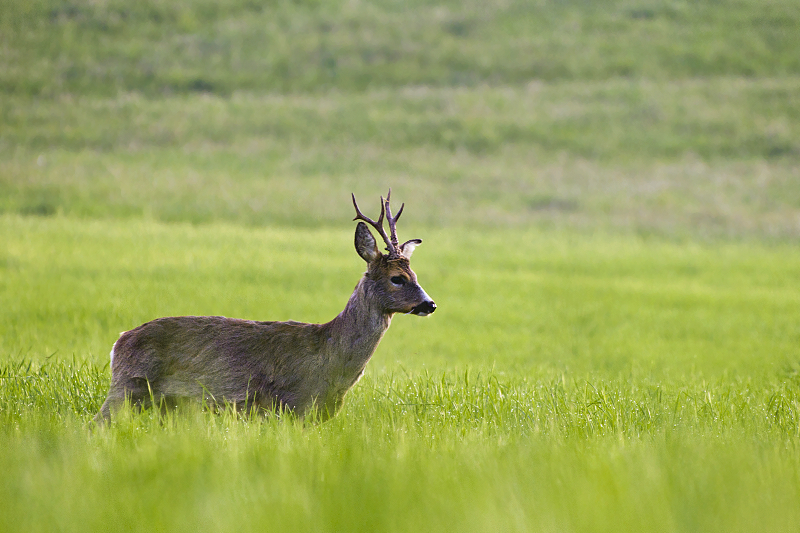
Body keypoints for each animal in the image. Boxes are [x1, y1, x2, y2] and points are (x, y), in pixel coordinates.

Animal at [97, 189, 440, 422]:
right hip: (127, 387)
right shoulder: (286, 403)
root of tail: (119, 341)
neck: (329, 357)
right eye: (397, 278)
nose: (430, 304)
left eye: (415, 275)